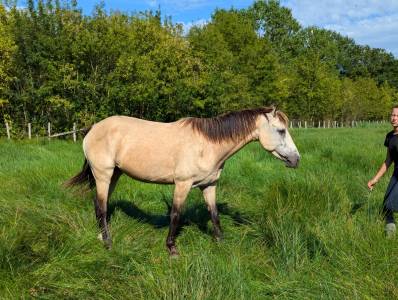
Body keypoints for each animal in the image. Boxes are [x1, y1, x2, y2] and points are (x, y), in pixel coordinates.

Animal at [67, 106, 300, 256]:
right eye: (281, 130)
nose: (296, 159)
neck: (207, 145)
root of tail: (93, 129)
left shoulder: (209, 185)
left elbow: (214, 214)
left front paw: (220, 241)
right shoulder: (182, 184)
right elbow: (176, 214)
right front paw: (172, 248)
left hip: (115, 174)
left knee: (101, 205)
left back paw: (102, 236)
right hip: (103, 174)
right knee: (101, 208)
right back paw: (108, 243)